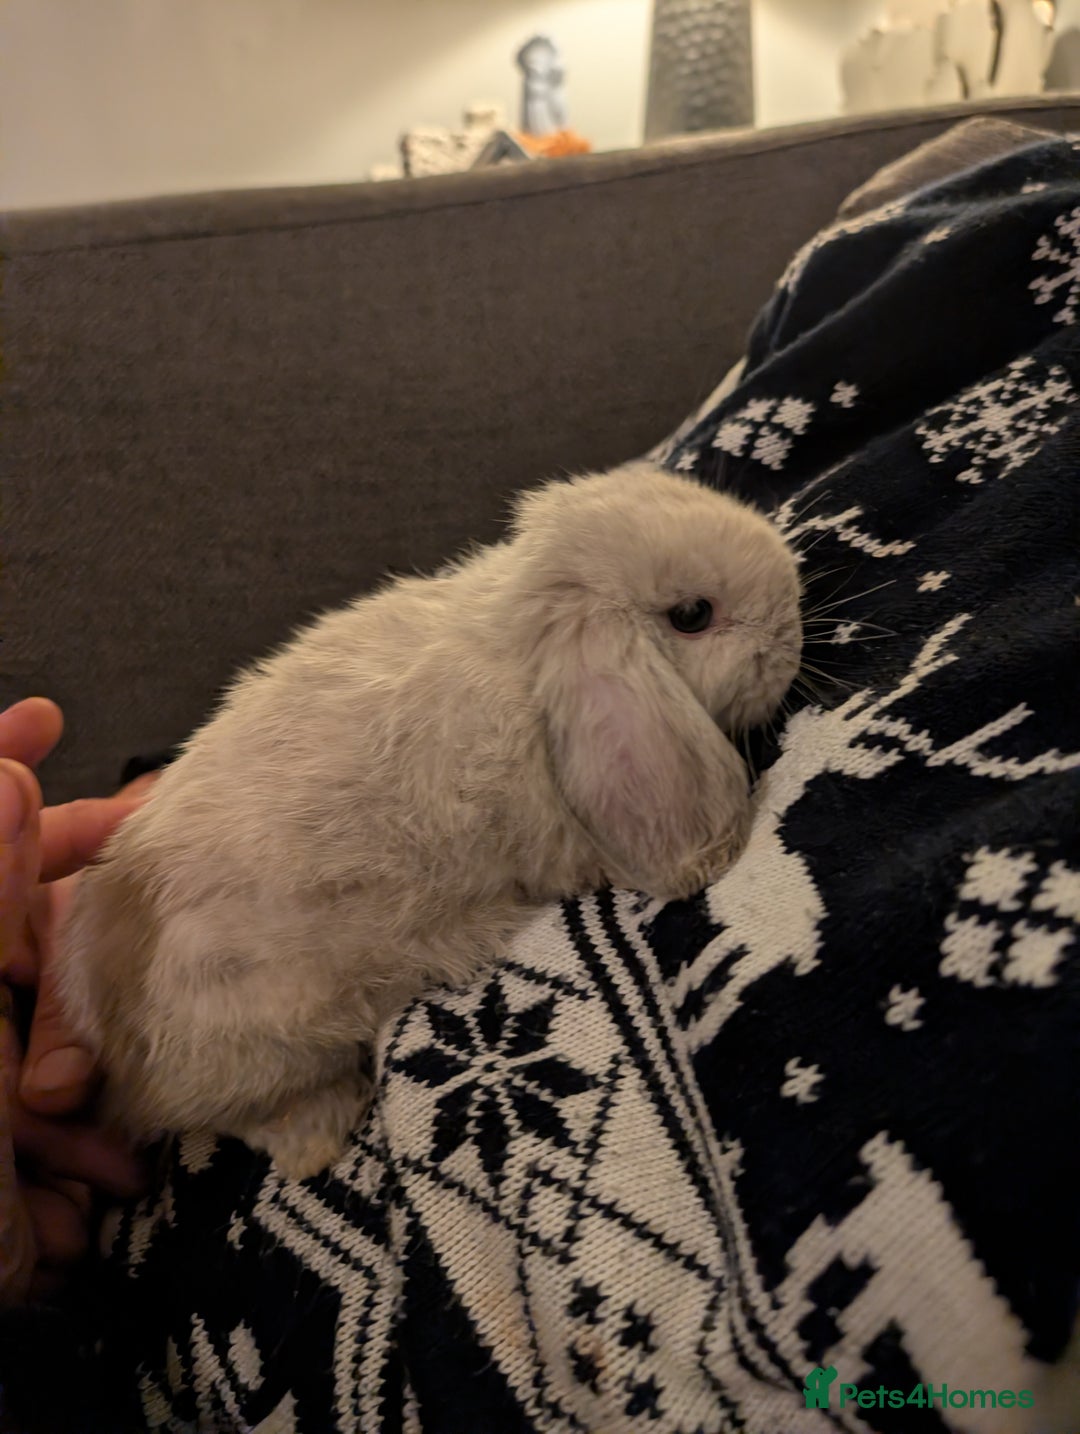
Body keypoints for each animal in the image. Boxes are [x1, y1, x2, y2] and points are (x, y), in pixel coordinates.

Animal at [56, 461, 802, 1179]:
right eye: (692, 614)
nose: (793, 623)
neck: (525, 655)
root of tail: (122, 1057)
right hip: (280, 1039)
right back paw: (321, 1133)